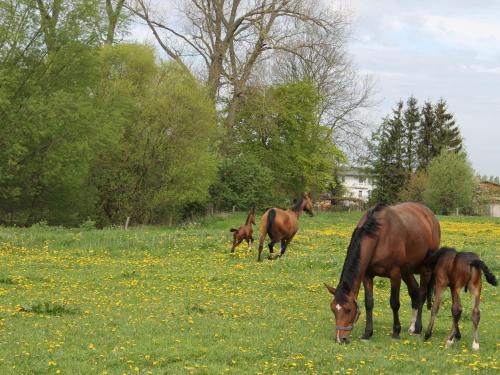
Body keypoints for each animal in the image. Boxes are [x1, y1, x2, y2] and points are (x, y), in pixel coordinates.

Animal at [322, 204, 440, 346]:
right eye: (333, 309)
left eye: (348, 310)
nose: (340, 339)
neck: (380, 235)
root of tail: (430, 215)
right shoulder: (367, 276)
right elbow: (369, 303)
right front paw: (367, 333)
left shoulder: (395, 275)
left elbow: (394, 303)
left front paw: (396, 332)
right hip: (407, 271)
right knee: (414, 292)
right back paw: (412, 327)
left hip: (424, 270)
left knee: (421, 294)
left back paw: (417, 328)